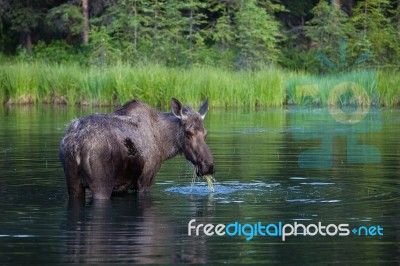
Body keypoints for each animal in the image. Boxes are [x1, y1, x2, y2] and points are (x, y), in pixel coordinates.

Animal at [59, 98, 214, 200]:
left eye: (206, 133)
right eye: (188, 133)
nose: (208, 166)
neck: (164, 145)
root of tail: (76, 144)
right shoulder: (145, 179)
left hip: (73, 182)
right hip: (101, 184)